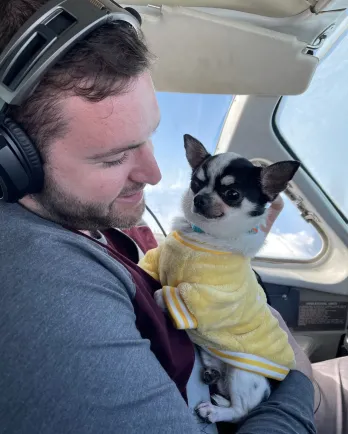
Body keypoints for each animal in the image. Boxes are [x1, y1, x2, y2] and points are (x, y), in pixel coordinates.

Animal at [139, 133, 300, 424]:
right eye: (195, 183)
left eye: (232, 194)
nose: (200, 198)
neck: (202, 233)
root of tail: (268, 389)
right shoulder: (157, 260)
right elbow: (148, 265)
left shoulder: (205, 296)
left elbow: (165, 293)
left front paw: (159, 299)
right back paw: (214, 378)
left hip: (243, 373)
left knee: (241, 410)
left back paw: (214, 410)